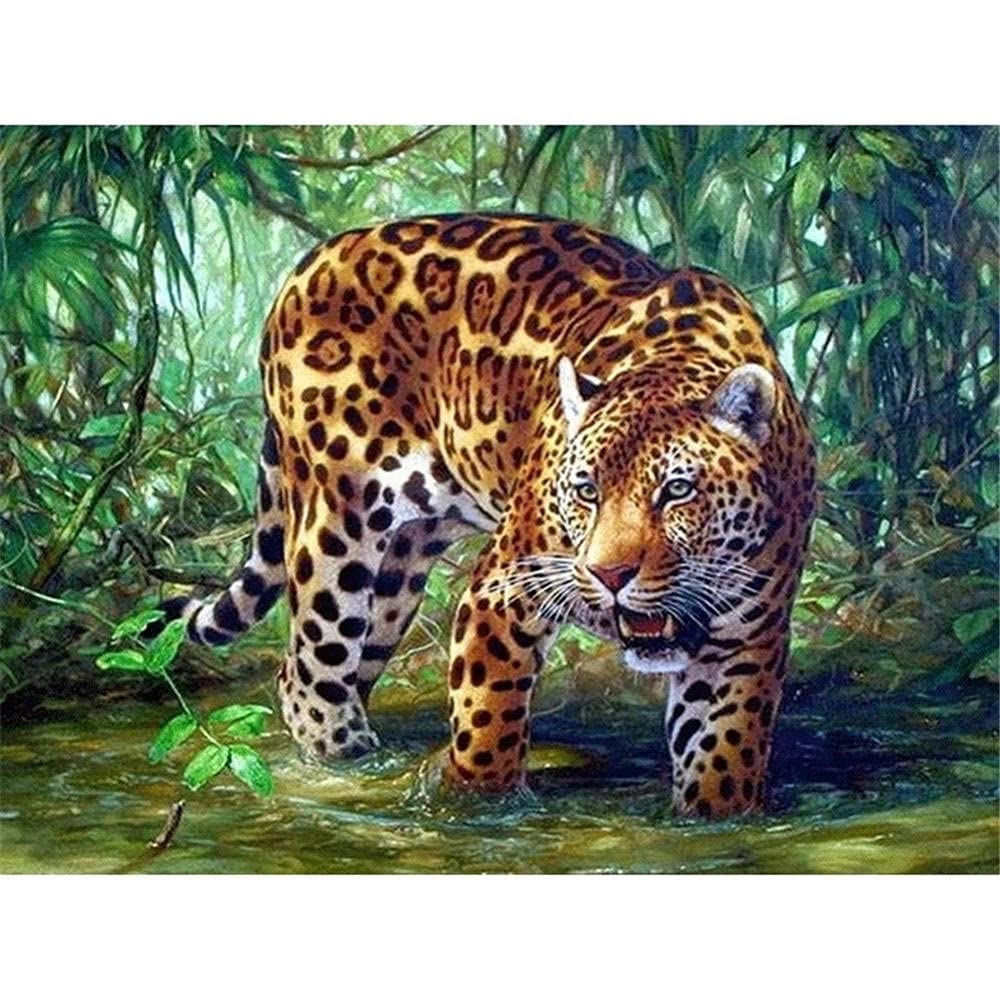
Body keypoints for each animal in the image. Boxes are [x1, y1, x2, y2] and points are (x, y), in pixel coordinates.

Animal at [149, 212, 817, 819]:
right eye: (585, 490)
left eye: (677, 490)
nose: (610, 576)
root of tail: (313, 261)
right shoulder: (503, 592)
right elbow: (487, 720)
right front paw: (473, 809)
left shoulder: (744, 643)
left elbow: (723, 757)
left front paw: (714, 821)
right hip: (334, 534)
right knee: (308, 677)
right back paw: (344, 768)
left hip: (399, 574)